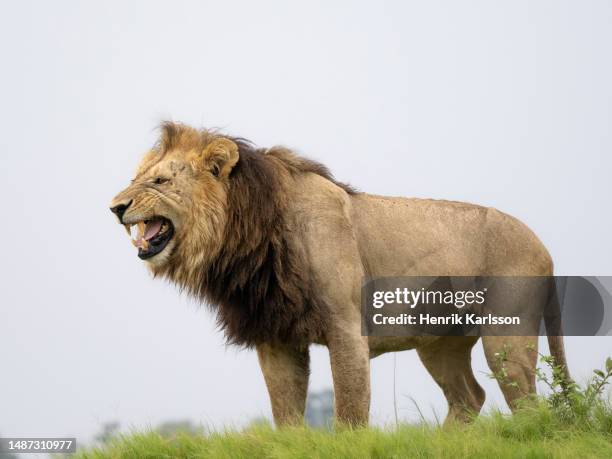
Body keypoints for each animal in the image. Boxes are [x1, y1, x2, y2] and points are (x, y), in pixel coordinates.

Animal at [109, 122, 568, 428]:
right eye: (134, 178)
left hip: (505, 334)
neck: (248, 236)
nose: (115, 207)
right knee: (469, 397)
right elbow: (286, 413)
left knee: (526, 401)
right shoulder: (276, 336)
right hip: (440, 344)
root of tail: (545, 248)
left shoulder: (346, 327)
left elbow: (349, 409)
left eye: (160, 180)